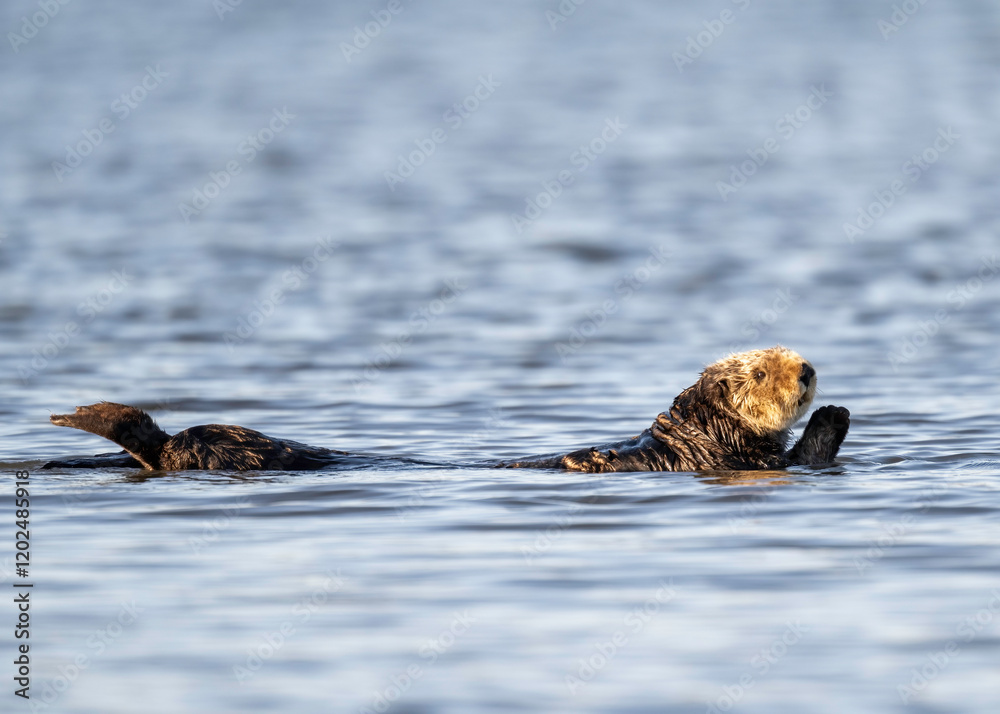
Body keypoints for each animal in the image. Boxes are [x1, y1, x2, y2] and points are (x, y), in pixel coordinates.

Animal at [500, 346, 849, 472]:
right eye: (761, 374)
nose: (805, 370)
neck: (712, 431)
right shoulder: (747, 459)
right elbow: (808, 457)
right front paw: (833, 414)